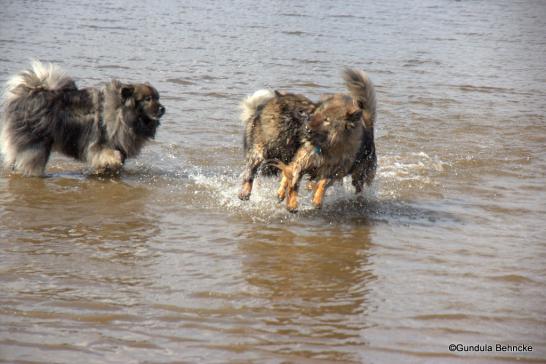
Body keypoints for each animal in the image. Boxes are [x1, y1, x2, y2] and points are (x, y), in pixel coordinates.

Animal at [1, 61, 165, 176]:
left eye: (157, 98)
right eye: (147, 99)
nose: (163, 109)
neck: (121, 113)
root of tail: (27, 95)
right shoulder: (98, 145)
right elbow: (113, 155)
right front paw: (110, 164)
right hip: (37, 146)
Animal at [274, 68, 376, 212]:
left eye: (327, 120)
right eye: (316, 114)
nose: (306, 128)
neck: (326, 146)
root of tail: (369, 128)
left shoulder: (335, 171)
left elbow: (323, 182)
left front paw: (317, 200)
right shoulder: (302, 161)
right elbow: (294, 179)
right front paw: (292, 204)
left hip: (360, 175)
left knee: (358, 187)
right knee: (288, 171)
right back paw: (282, 192)